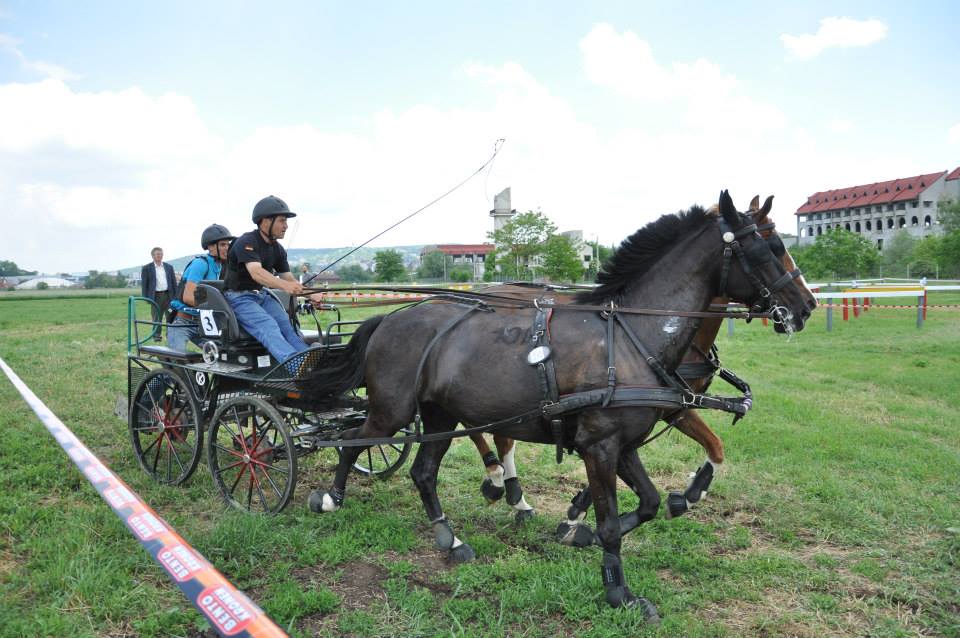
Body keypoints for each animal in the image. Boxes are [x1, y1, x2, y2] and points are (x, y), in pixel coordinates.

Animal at [306, 191, 808, 620]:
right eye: (769, 248)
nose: (804, 307)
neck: (629, 336)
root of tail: (391, 318)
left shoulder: (625, 444)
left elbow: (647, 503)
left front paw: (576, 530)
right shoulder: (600, 445)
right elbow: (612, 523)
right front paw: (618, 591)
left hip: (439, 413)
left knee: (423, 471)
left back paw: (452, 537)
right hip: (392, 411)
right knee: (352, 440)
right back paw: (332, 497)